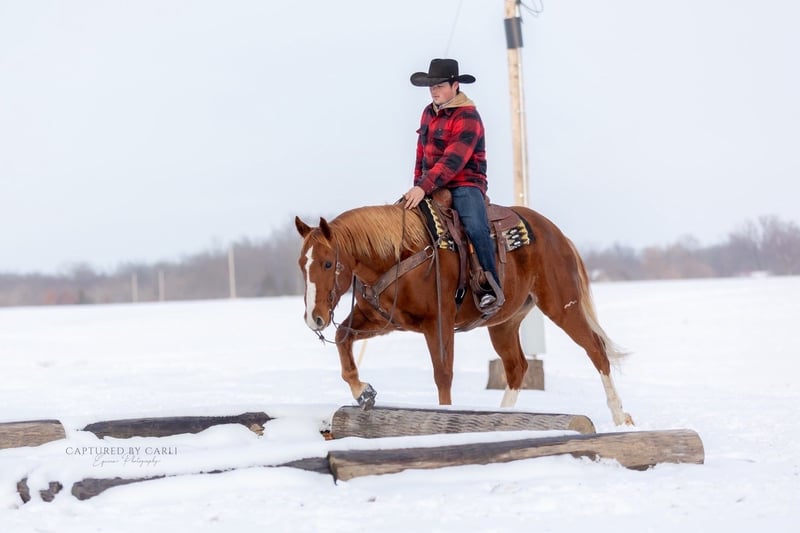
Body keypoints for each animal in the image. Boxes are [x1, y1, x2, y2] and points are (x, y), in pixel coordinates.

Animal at [295, 201, 634, 426]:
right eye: (302, 263)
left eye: (328, 263)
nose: (314, 318)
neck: (401, 254)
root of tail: (557, 235)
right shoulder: (385, 320)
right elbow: (343, 336)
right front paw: (363, 392)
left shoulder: (438, 324)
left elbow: (443, 375)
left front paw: (446, 414)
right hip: (504, 323)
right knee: (517, 367)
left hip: (563, 305)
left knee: (596, 350)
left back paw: (620, 416)